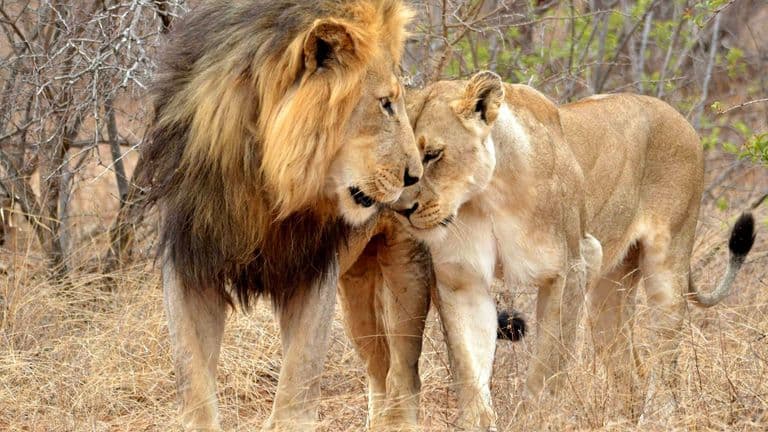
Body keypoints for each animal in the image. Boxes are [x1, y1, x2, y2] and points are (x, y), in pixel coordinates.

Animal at [136, 1, 424, 430]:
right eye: (385, 103)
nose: (415, 176)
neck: (262, 180)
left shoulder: (311, 271)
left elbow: (297, 385)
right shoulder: (191, 264)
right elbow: (193, 380)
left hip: (407, 276)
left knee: (404, 376)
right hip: (357, 294)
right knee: (379, 369)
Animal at [342, 71, 756, 430]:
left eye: (433, 154)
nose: (399, 209)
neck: (488, 197)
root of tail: (677, 115)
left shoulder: (574, 264)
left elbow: (548, 365)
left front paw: (538, 419)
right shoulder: (462, 281)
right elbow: (470, 369)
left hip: (666, 267)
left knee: (664, 361)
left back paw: (658, 418)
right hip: (608, 295)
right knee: (628, 367)